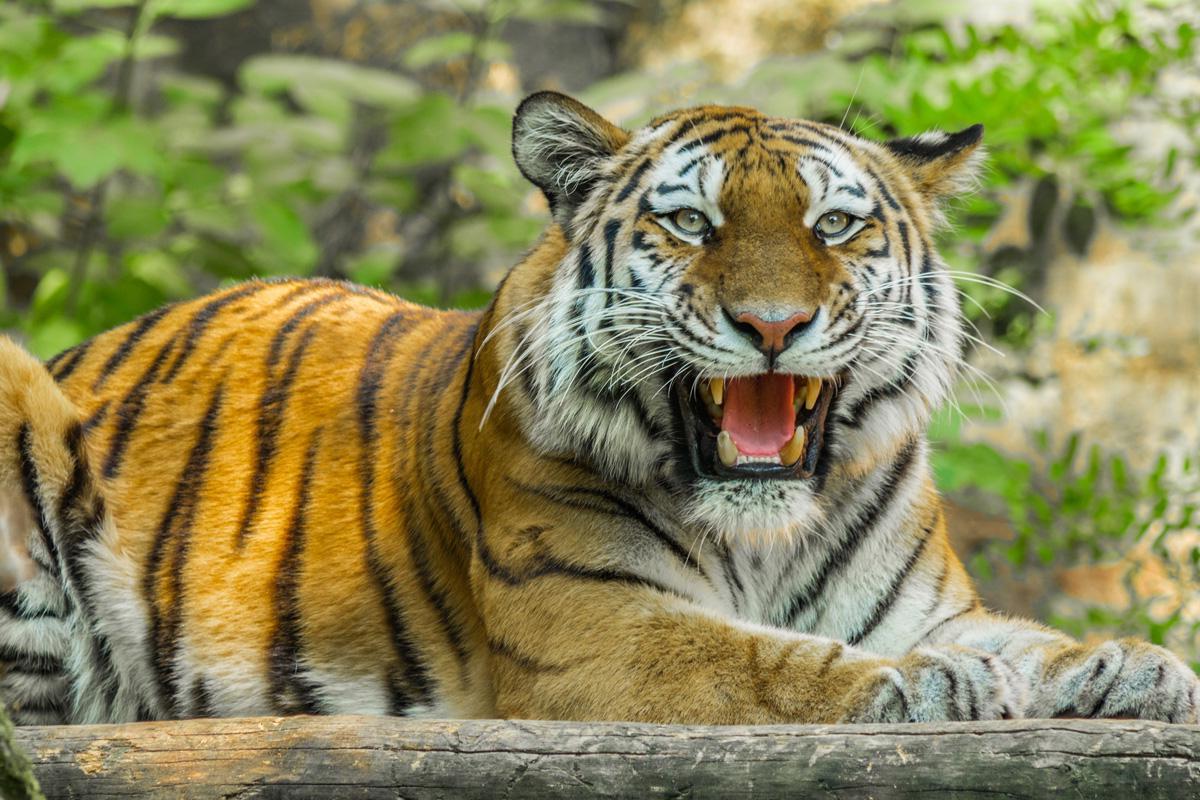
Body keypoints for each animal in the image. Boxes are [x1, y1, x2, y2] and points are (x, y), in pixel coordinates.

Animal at [0, 91, 1196, 727]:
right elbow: (762, 659)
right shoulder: (589, 625)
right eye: (693, 222)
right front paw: (926, 684)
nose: (773, 324)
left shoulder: (927, 601)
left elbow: (1021, 634)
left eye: (835, 225)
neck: (764, 535)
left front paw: (1129, 661)